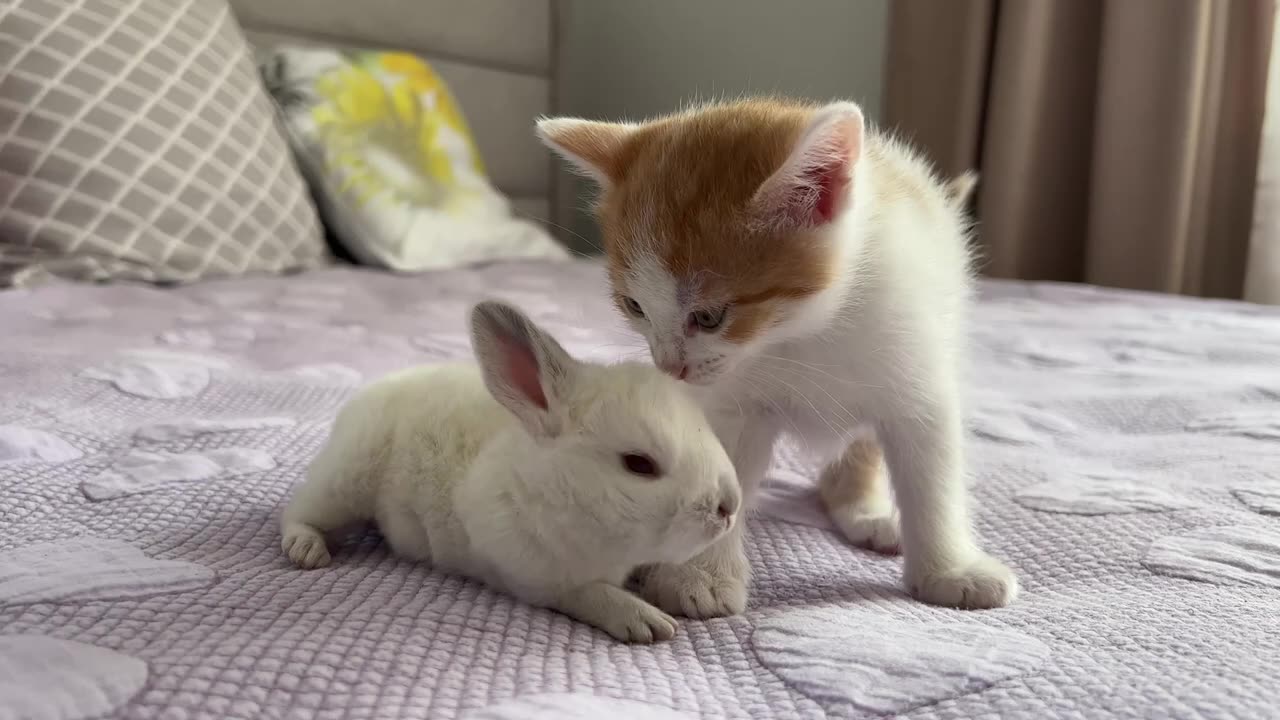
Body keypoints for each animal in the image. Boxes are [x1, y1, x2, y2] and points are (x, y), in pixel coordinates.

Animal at [280, 297, 742, 638]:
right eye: (638, 464)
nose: (729, 506)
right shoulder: (533, 577)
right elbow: (590, 593)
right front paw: (647, 621)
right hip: (344, 482)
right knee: (299, 513)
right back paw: (307, 550)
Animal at [535, 96, 1013, 617]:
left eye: (709, 316)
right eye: (634, 306)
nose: (669, 367)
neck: (804, 330)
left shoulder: (918, 367)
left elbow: (932, 472)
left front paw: (951, 570)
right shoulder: (732, 402)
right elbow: (718, 469)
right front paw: (699, 576)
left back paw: (867, 512)